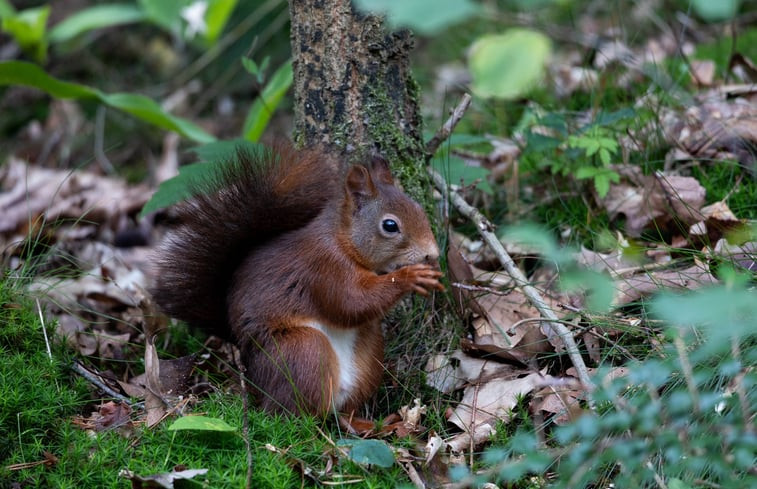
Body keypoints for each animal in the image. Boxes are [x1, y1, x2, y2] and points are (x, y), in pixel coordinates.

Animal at [150, 145, 440, 416]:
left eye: (419, 209)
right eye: (390, 226)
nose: (433, 254)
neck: (342, 241)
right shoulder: (323, 268)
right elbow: (350, 302)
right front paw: (410, 276)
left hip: (369, 350)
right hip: (300, 350)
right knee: (294, 410)